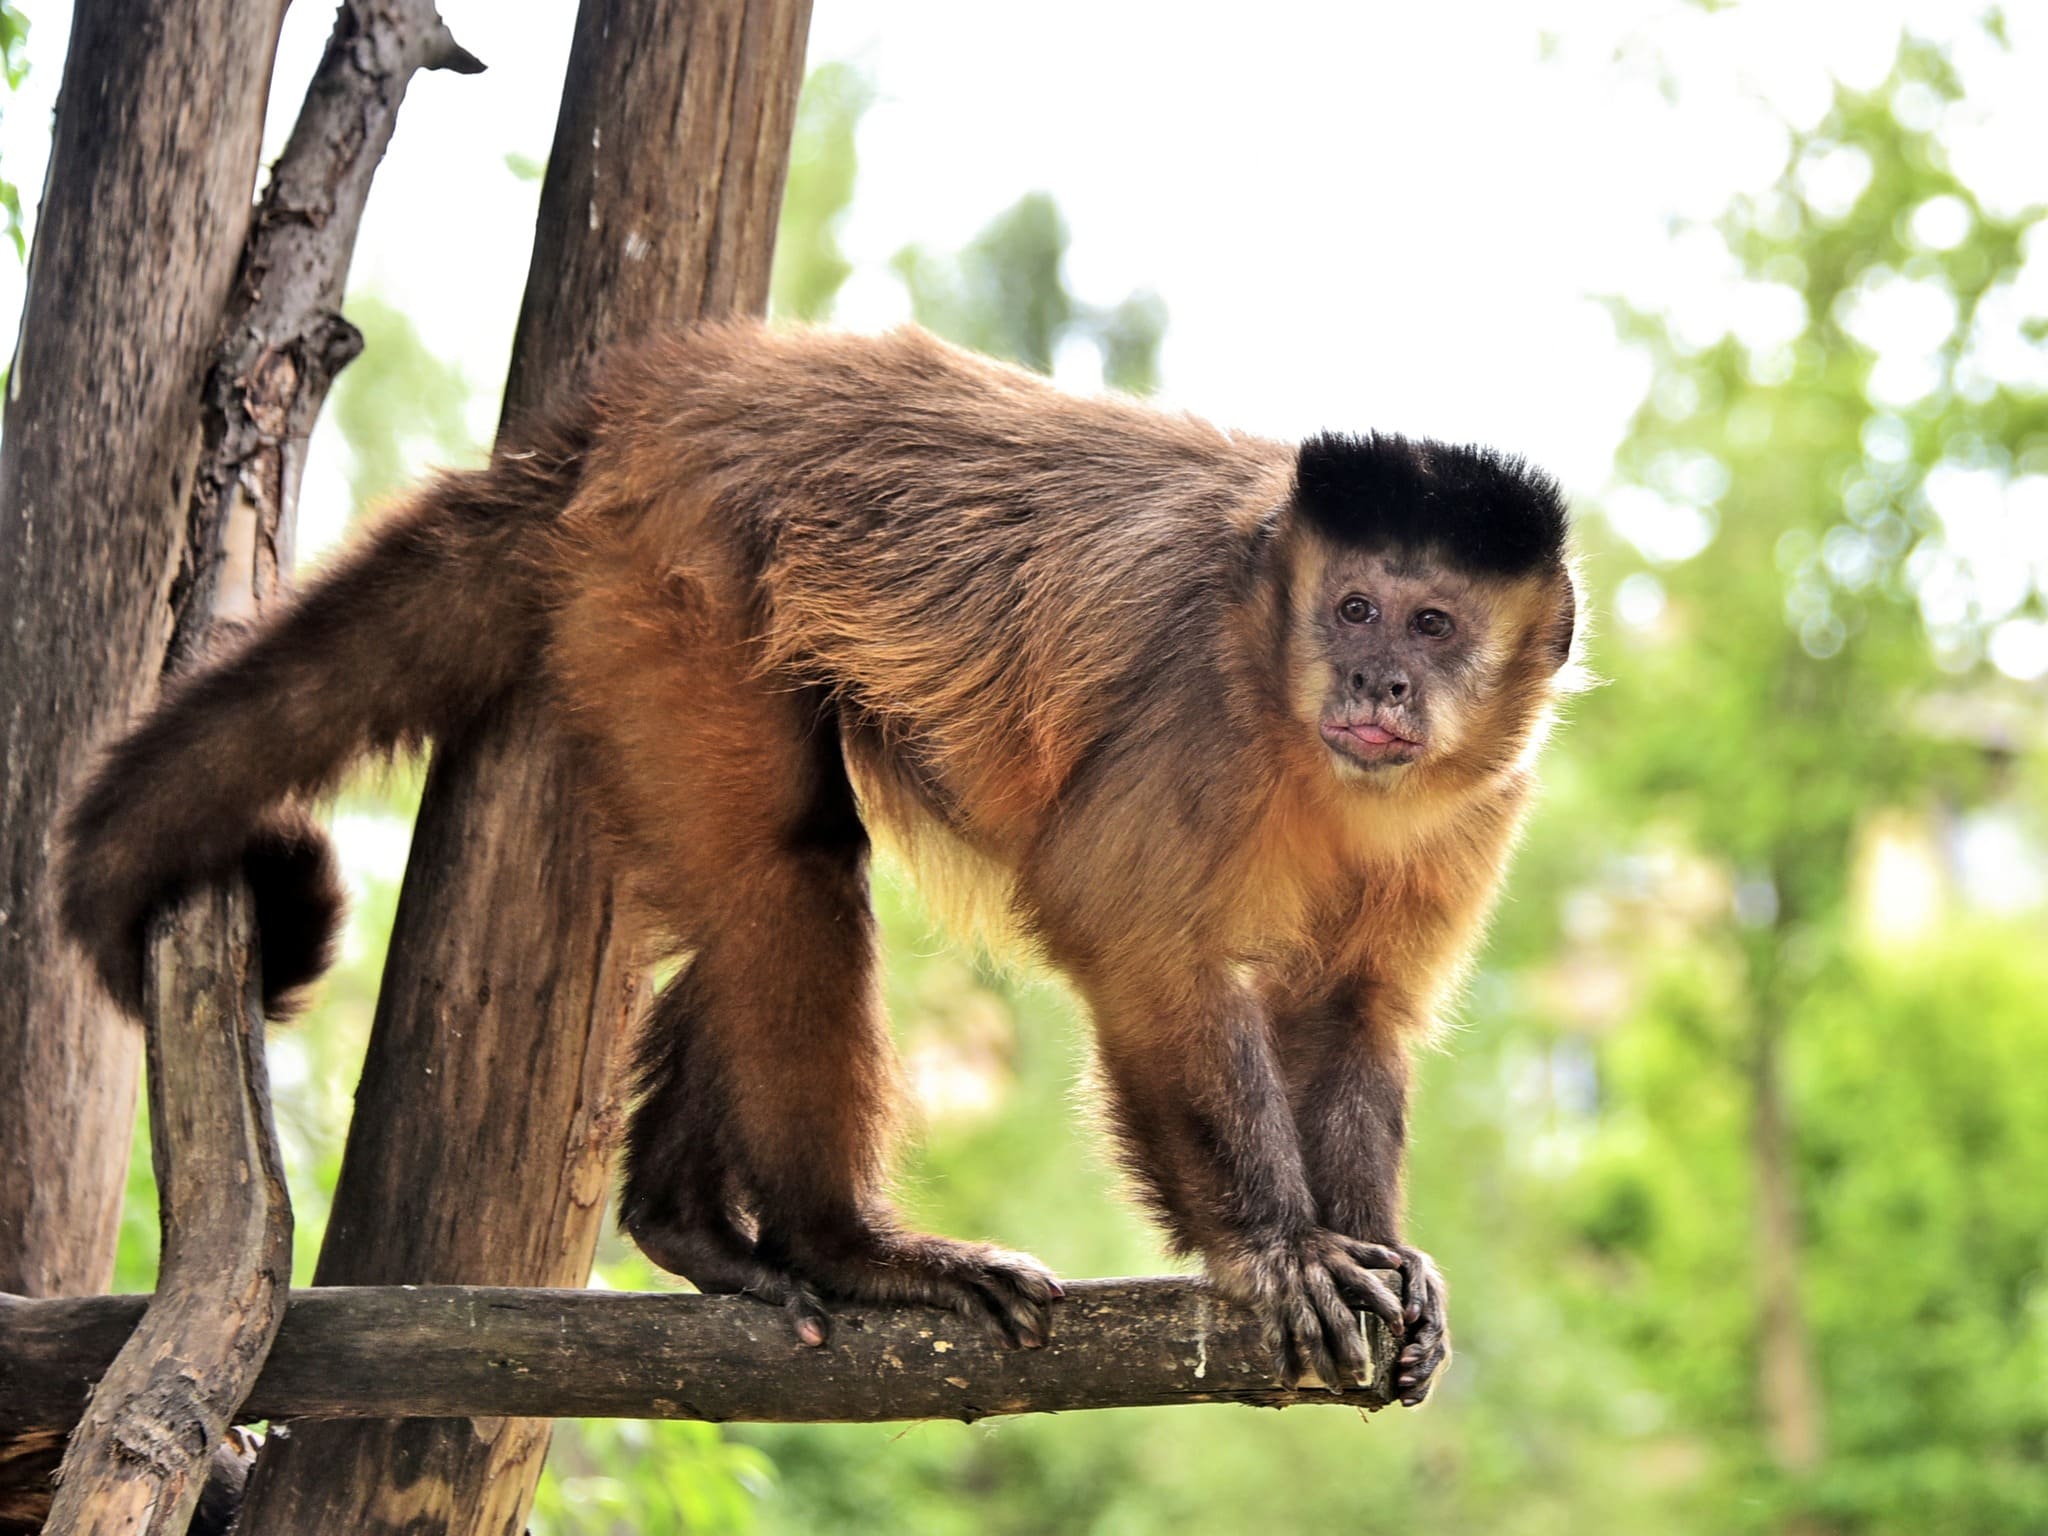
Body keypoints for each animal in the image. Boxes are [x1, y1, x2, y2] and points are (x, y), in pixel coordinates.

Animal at [56, 321, 1572, 1409]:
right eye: (1355, 607)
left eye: (1433, 624)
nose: (1377, 680)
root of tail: (652, 400)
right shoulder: (1203, 703)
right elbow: (1133, 939)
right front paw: (1273, 1246)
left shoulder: (1483, 801)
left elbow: (1350, 1013)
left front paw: (1377, 1250)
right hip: (666, 576)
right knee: (785, 869)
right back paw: (846, 1249)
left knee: (764, 881)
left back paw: (688, 1227)